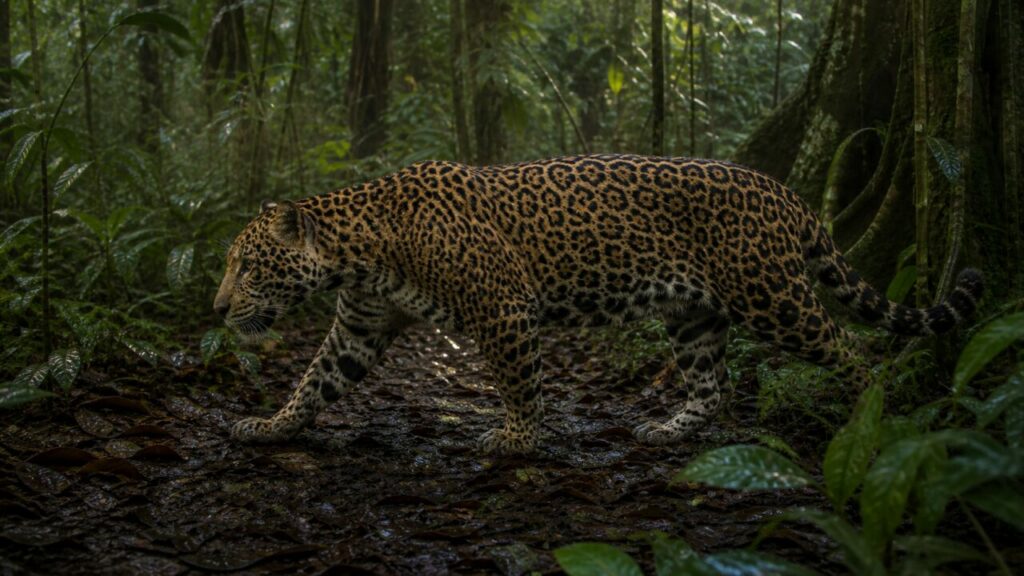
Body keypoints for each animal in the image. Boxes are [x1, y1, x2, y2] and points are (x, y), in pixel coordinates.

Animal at [214, 154, 983, 454]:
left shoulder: (504, 308)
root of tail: (786, 191)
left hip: (773, 296)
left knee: (849, 347)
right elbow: (315, 381)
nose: (218, 310)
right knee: (712, 384)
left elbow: (520, 382)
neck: (362, 249)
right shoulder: (360, 327)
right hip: (694, 316)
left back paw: (869, 412)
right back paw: (668, 430)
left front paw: (518, 439)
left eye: (247, 265)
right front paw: (271, 426)